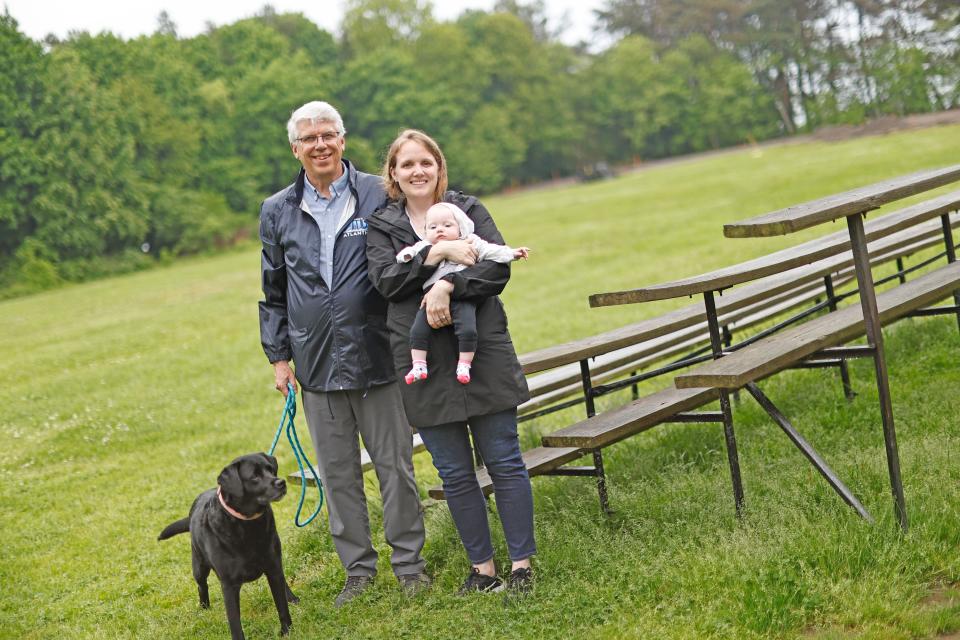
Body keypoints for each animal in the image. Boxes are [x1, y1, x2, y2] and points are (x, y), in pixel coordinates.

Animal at [159, 452, 298, 636]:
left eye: (271, 470)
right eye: (254, 476)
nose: (281, 482)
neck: (248, 525)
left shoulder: (273, 567)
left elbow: (281, 605)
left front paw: (287, 631)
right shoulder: (229, 585)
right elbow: (234, 622)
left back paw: (292, 598)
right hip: (199, 566)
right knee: (201, 586)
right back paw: (204, 607)